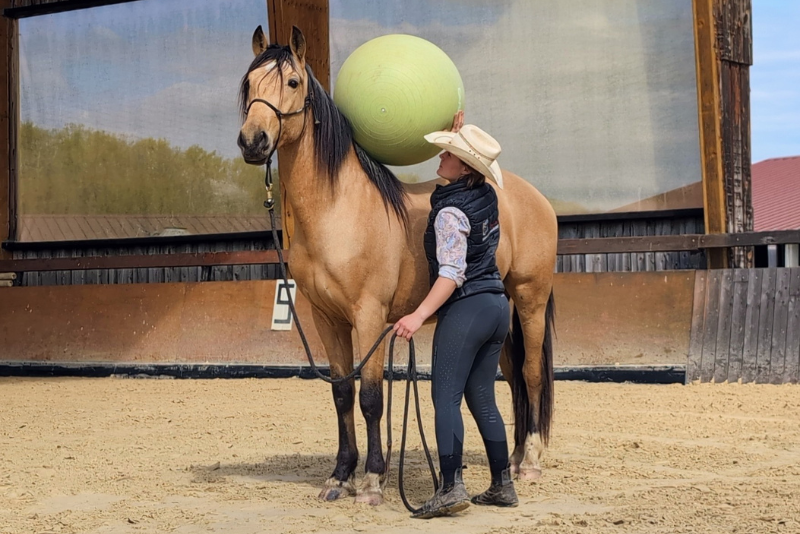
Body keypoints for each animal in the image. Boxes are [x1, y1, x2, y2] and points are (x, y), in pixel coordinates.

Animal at [237, 26, 558, 506]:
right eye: (248, 83)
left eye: (292, 82)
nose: (252, 141)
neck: (338, 209)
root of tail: (533, 196)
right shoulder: (326, 319)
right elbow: (342, 393)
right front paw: (339, 477)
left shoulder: (369, 317)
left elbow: (371, 398)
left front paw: (372, 482)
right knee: (513, 378)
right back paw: (516, 459)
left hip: (530, 299)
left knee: (531, 373)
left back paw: (532, 463)